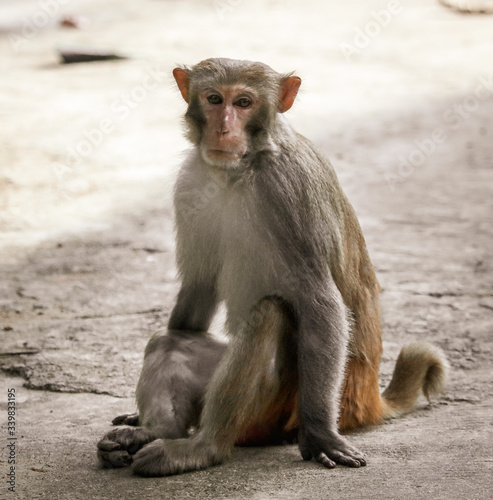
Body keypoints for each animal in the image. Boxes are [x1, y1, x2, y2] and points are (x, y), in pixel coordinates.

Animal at [96, 58, 446, 476]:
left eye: (244, 102)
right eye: (214, 99)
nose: (224, 127)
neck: (239, 170)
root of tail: (365, 401)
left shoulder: (289, 189)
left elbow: (320, 302)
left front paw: (320, 436)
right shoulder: (191, 182)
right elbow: (199, 287)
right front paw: (141, 420)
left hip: (279, 409)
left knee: (270, 316)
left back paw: (201, 448)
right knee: (171, 340)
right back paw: (156, 431)